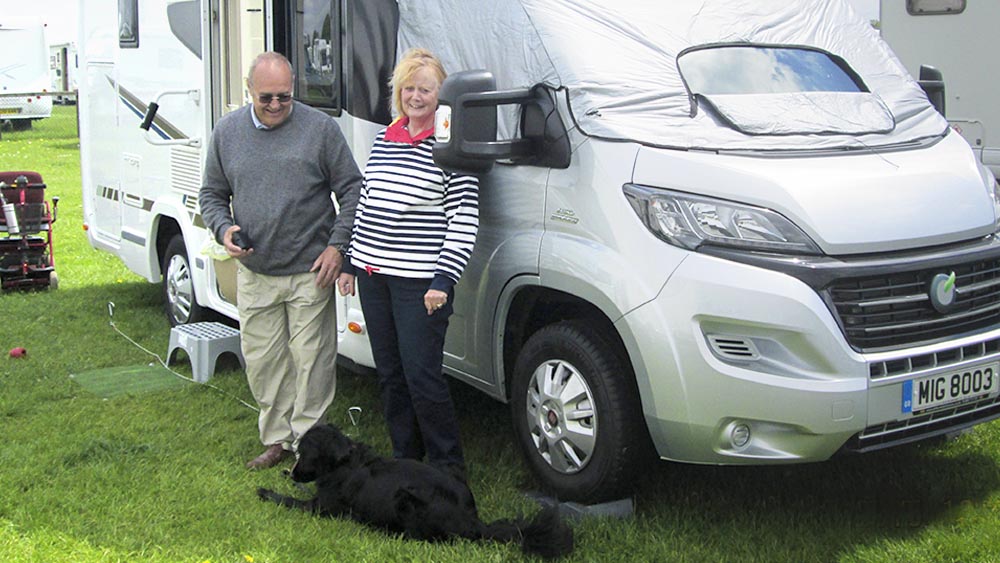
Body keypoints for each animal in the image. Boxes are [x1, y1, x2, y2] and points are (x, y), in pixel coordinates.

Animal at [254, 426, 576, 556]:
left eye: (303, 453)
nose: (294, 471)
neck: (341, 461)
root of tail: (474, 521)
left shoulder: (321, 507)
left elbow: (289, 499)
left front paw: (266, 491)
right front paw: (283, 477)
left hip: (406, 498)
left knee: (424, 538)